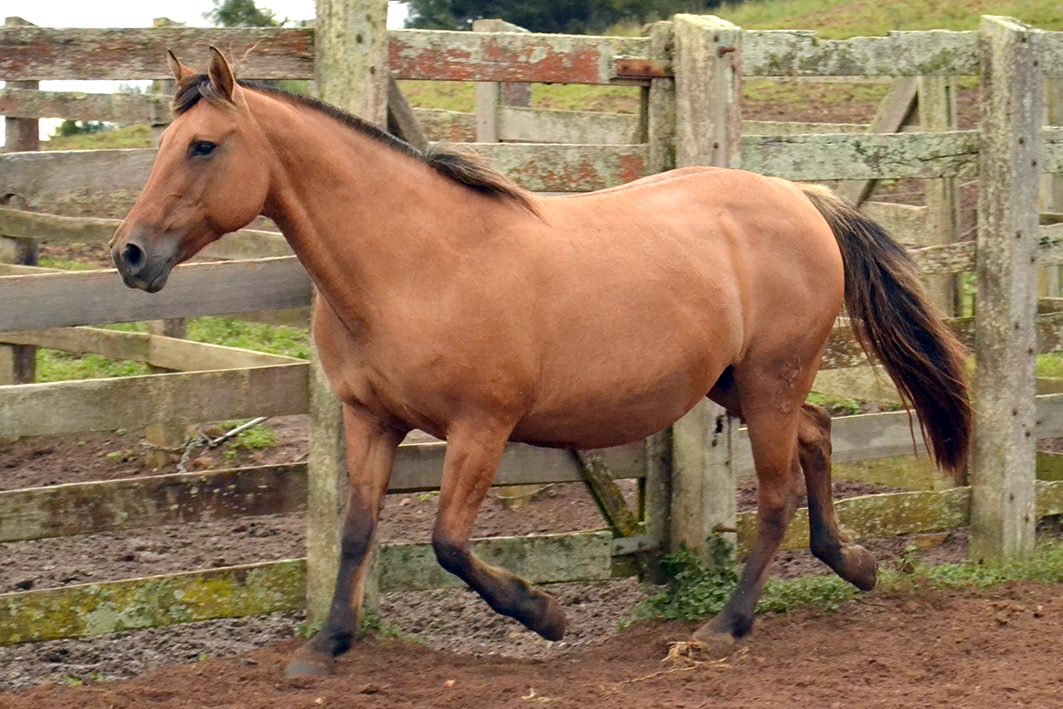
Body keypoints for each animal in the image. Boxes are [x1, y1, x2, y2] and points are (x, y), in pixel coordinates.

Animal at [111, 48, 971, 677]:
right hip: (744, 382)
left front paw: (546, 614)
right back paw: (852, 562)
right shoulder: (370, 419)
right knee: (819, 436)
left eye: (204, 145)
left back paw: (722, 628)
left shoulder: (480, 426)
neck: (412, 262)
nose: (130, 254)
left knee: (775, 496)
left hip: (768, 379)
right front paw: (325, 647)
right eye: (162, 145)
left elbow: (447, 542)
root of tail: (798, 196)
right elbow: (356, 530)